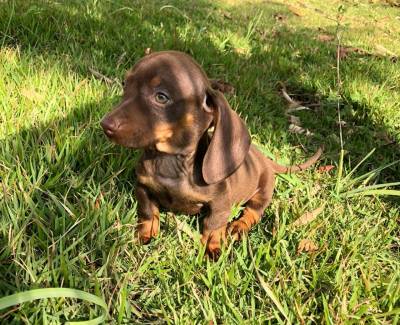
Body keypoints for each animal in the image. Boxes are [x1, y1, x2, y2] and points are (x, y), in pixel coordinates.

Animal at [100, 50, 322, 256]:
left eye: (161, 97)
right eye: (125, 84)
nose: (105, 125)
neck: (171, 162)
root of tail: (264, 158)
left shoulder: (220, 202)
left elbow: (213, 224)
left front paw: (212, 246)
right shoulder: (143, 186)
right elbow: (147, 211)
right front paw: (145, 233)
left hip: (265, 189)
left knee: (254, 211)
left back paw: (239, 226)